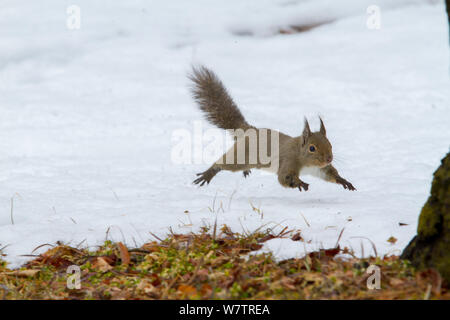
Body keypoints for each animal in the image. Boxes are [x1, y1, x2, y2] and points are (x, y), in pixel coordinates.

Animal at [188, 66, 354, 191]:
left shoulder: (320, 169)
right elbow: (284, 178)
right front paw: (300, 183)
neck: (306, 161)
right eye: (312, 148)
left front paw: (343, 181)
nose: (329, 158)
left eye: (330, 144)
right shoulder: (288, 161)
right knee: (223, 163)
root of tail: (250, 130)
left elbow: (330, 174)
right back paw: (209, 173)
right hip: (242, 156)